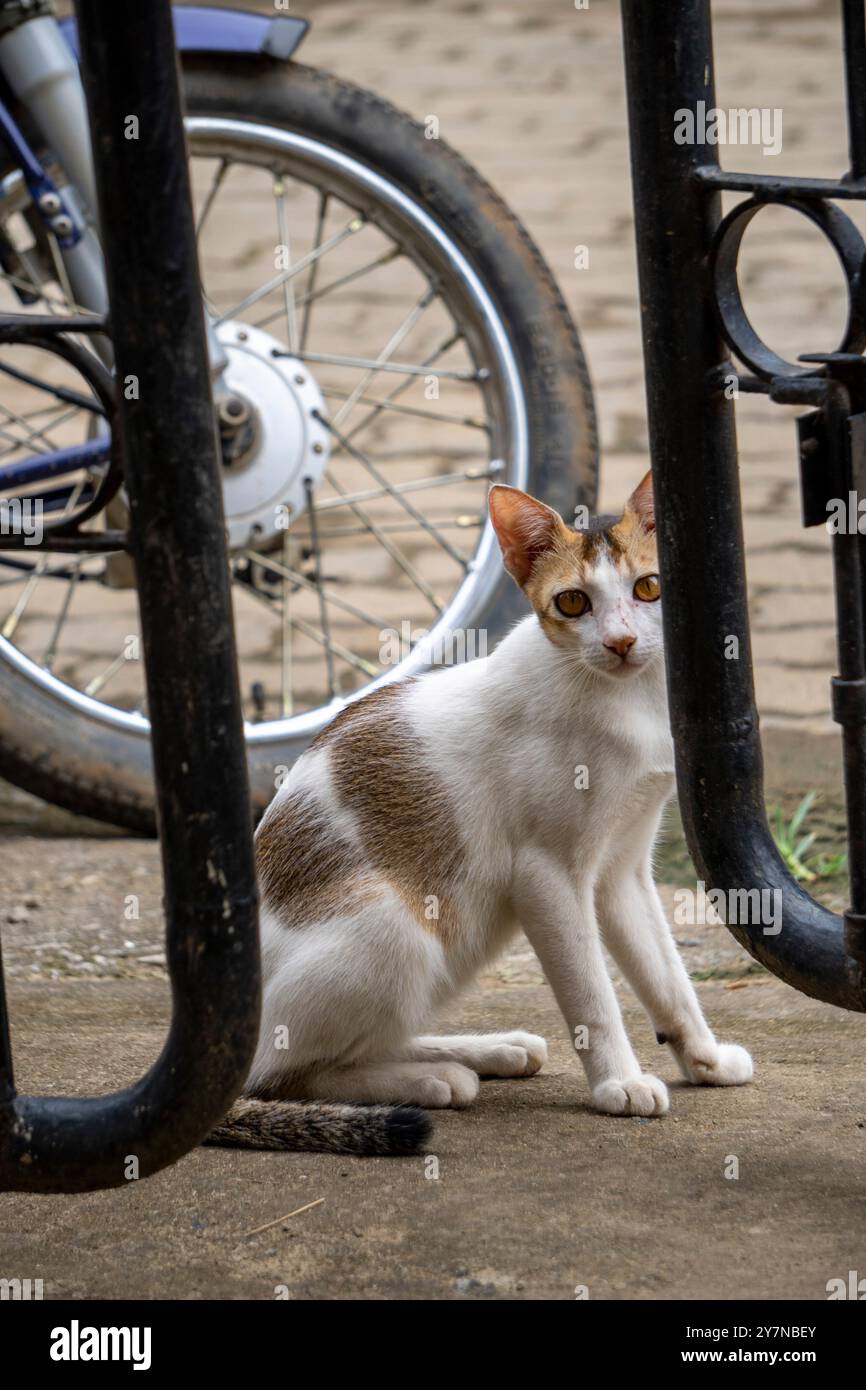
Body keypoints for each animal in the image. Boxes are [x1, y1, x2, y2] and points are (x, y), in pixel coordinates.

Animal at [209, 472, 750, 1156]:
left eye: (649, 588)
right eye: (573, 603)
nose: (622, 642)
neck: (624, 700)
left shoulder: (622, 872)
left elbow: (669, 978)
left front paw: (704, 1059)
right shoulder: (546, 877)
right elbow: (593, 997)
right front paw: (619, 1084)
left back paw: (485, 1050)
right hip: (395, 925)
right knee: (285, 1074)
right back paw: (431, 1080)